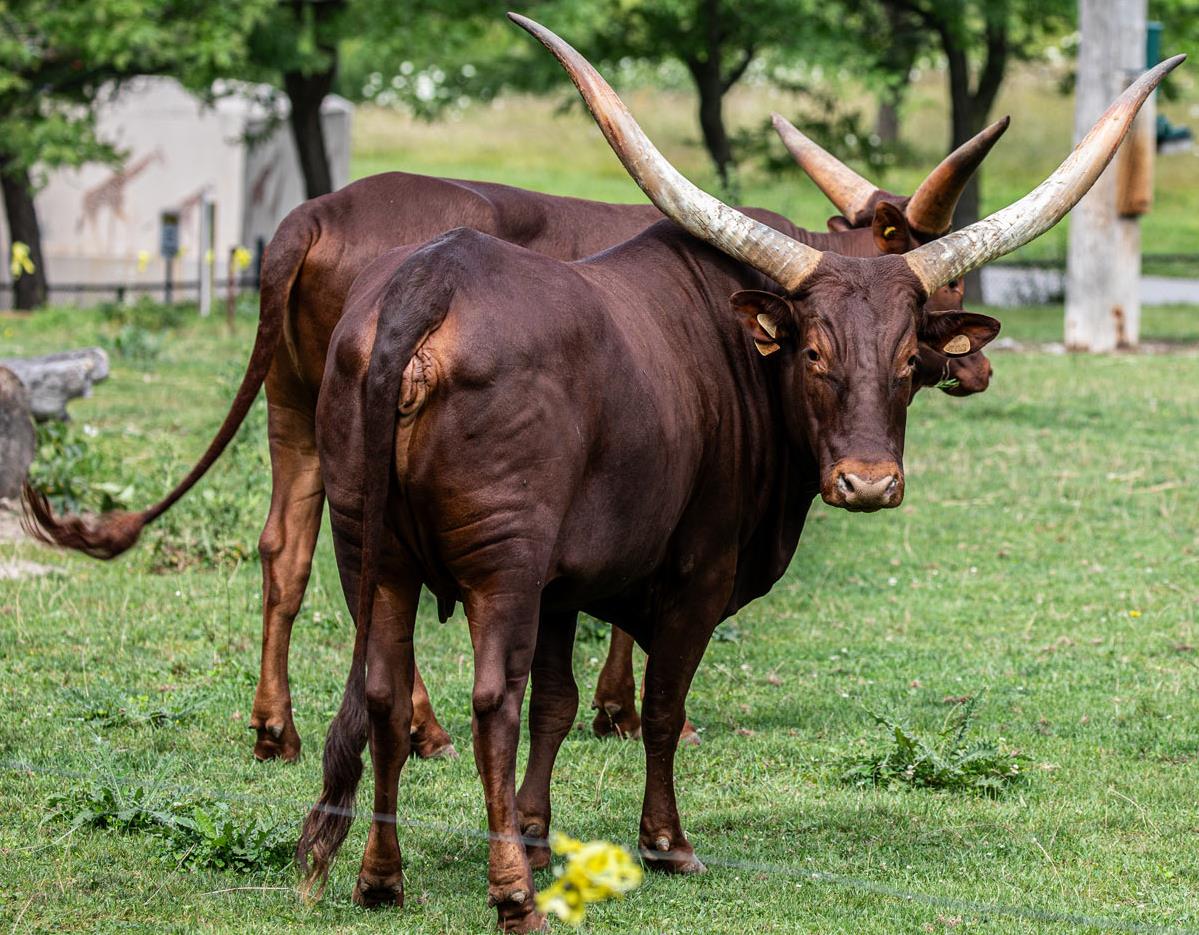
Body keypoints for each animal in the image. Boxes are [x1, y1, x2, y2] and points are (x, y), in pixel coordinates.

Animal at [22, 134, 1004, 765]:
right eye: (940, 278)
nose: (976, 363)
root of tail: (319, 211)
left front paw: (612, 708)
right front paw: (630, 711)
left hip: (295, 409)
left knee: (287, 551)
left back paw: (276, 728)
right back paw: (422, 730)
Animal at [292, 16, 1178, 930]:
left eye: (906, 357)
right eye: (815, 354)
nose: (868, 483)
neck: (745, 348)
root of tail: (427, 286)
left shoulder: (563, 584)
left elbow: (557, 704)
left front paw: (539, 835)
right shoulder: (695, 574)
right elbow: (657, 705)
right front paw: (662, 843)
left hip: (370, 552)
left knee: (386, 690)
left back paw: (381, 877)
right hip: (499, 565)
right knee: (490, 702)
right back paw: (511, 896)